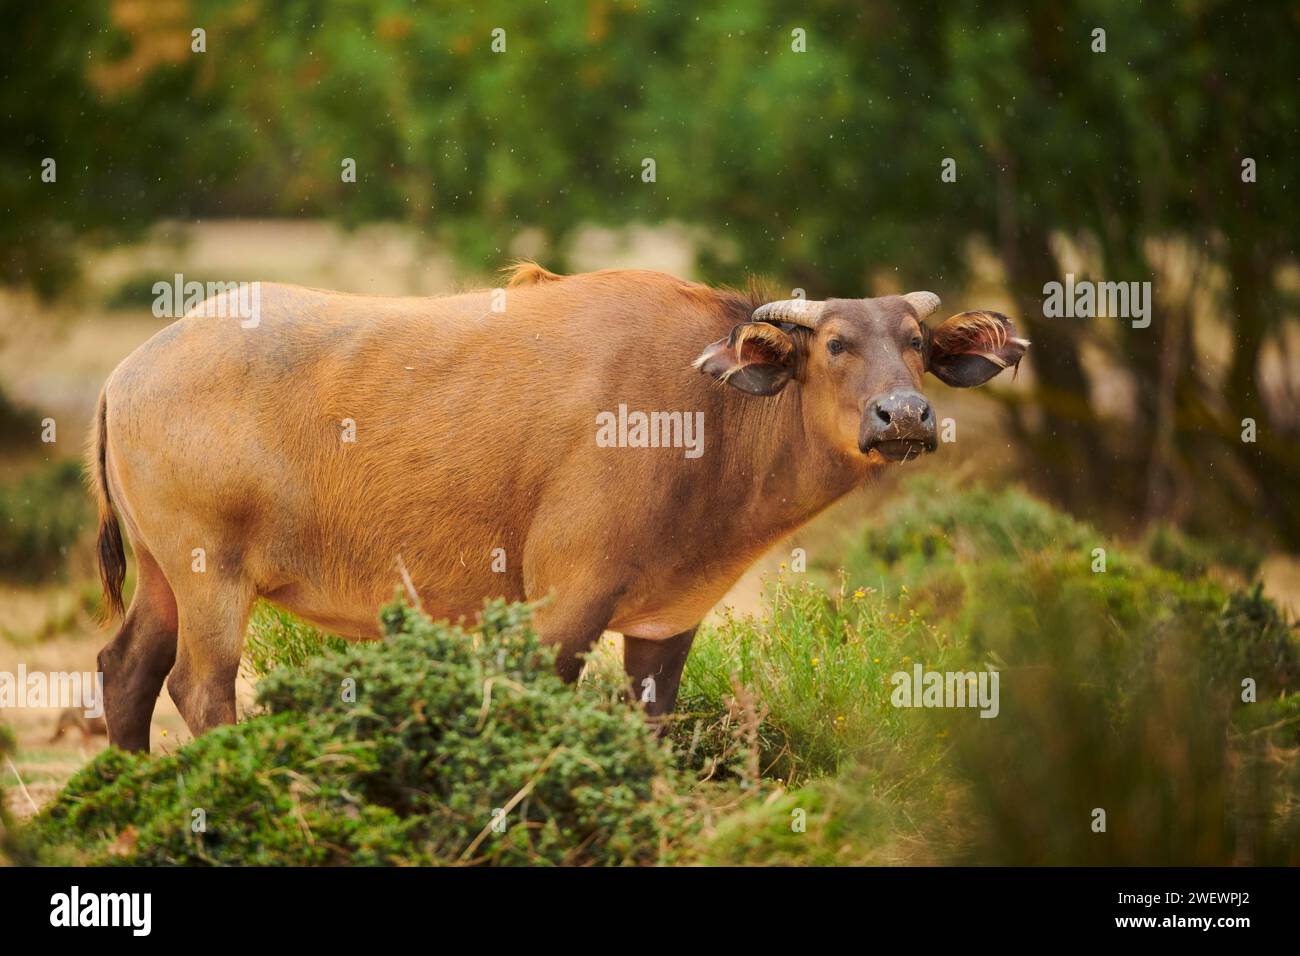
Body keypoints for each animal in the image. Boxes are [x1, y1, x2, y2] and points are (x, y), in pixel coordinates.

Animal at [89, 265, 1024, 749]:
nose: (904, 416)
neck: (704, 412)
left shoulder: (664, 626)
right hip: (213, 578)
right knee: (199, 688)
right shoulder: (561, 607)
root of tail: (127, 371)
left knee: (126, 672)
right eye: (833, 345)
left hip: (165, 579)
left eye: (915, 345)